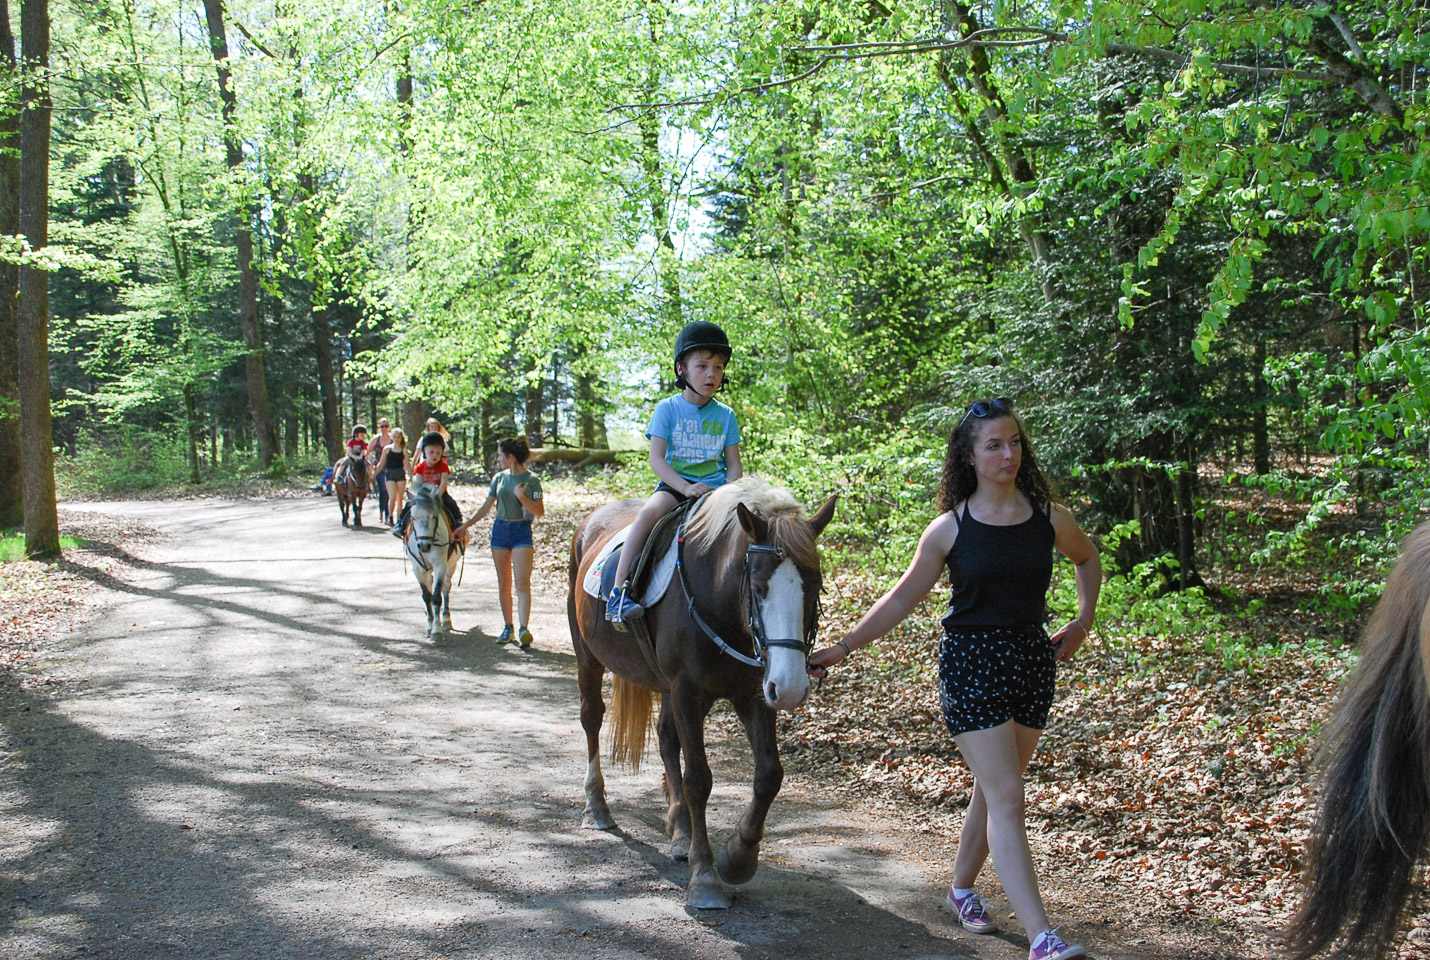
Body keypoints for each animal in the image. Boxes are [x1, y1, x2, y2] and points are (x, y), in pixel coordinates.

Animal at [403, 481, 461, 641]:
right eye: (413, 518)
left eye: (434, 517)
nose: (424, 546)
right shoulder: (417, 568)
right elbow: (426, 596)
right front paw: (429, 626)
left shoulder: (440, 565)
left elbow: (436, 597)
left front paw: (437, 631)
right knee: (430, 585)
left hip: (451, 565)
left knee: (446, 588)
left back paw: (446, 620)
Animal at [566, 477, 837, 909]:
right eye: (758, 588)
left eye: (815, 587)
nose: (792, 686)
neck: (722, 604)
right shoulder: (688, 691)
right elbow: (699, 779)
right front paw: (706, 877)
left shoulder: (754, 694)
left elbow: (769, 775)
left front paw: (739, 856)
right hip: (588, 656)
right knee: (592, 717)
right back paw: (597, 807)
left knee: (665, 738)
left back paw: (680, 831)